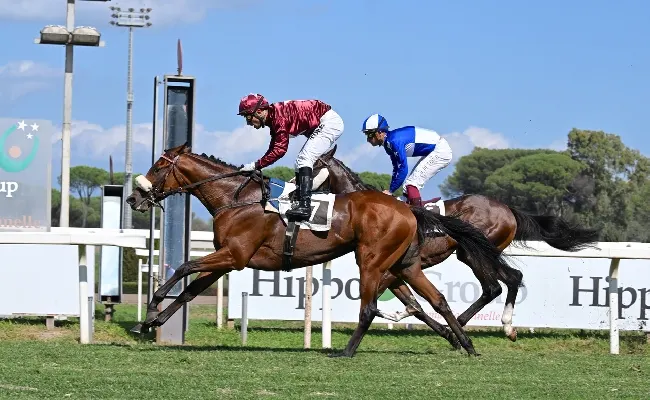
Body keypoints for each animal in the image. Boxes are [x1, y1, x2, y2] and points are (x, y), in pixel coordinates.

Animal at [124, 142, 514, 356]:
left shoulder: (234, 256)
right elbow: (189, 290)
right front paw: (151, 321)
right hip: (405, 264)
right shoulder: (227, 261)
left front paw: (150, 310)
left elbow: (183, 268)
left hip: (378, 259)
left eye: (158, 167)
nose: (133, 197)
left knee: (380, 305)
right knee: (438, 300)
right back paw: (465, 342)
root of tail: (408, 210)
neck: (237, 199)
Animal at [310, 145, 601, 341]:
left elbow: (399, 302)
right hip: (474, 253)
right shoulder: (395, 270)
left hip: (475, 254)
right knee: (508, 280)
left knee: (496, 286)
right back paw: (500, 326)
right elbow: (413, 306)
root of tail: (508, 208)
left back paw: (471, 322)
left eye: (312, 167)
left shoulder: (388, 269)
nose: (299, 192)